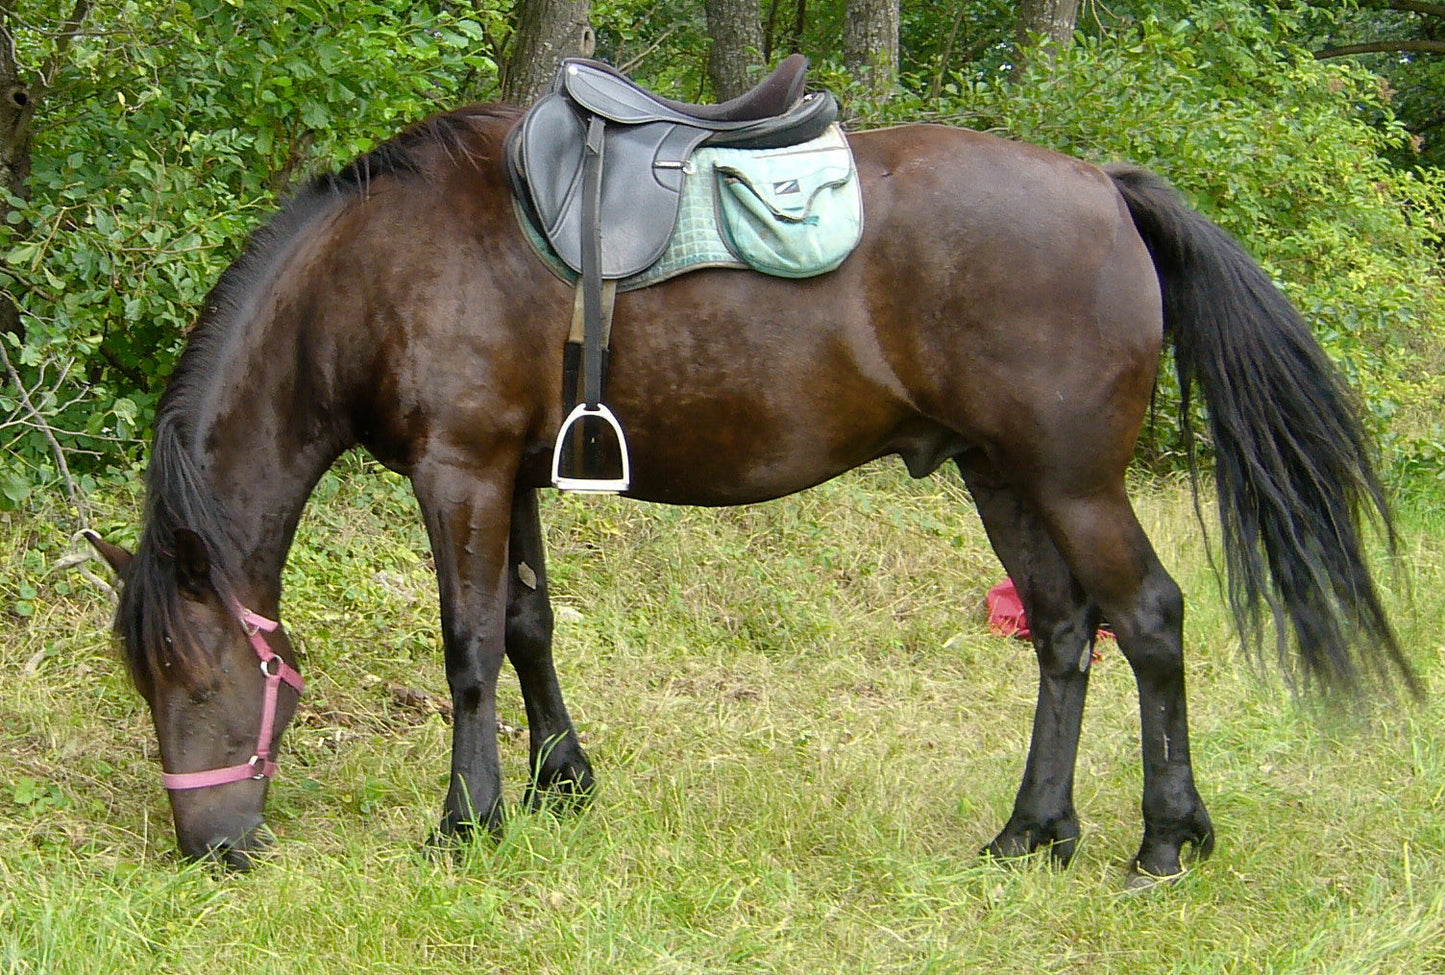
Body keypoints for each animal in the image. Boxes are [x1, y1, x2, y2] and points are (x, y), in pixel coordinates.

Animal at [86, 102, 1410, 883]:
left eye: (195, 679)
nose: (207, 849)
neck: (373, 271)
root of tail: (1099, 182)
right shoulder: (510, 471)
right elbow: (525, 625)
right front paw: (560, 783)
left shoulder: (456, 470)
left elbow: (465, 648)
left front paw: (468, 823)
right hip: (1001, 479)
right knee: (1062, 632)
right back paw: (1032, 831)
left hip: (1073, 481)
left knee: (1148, 621)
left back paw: (1164, 839)